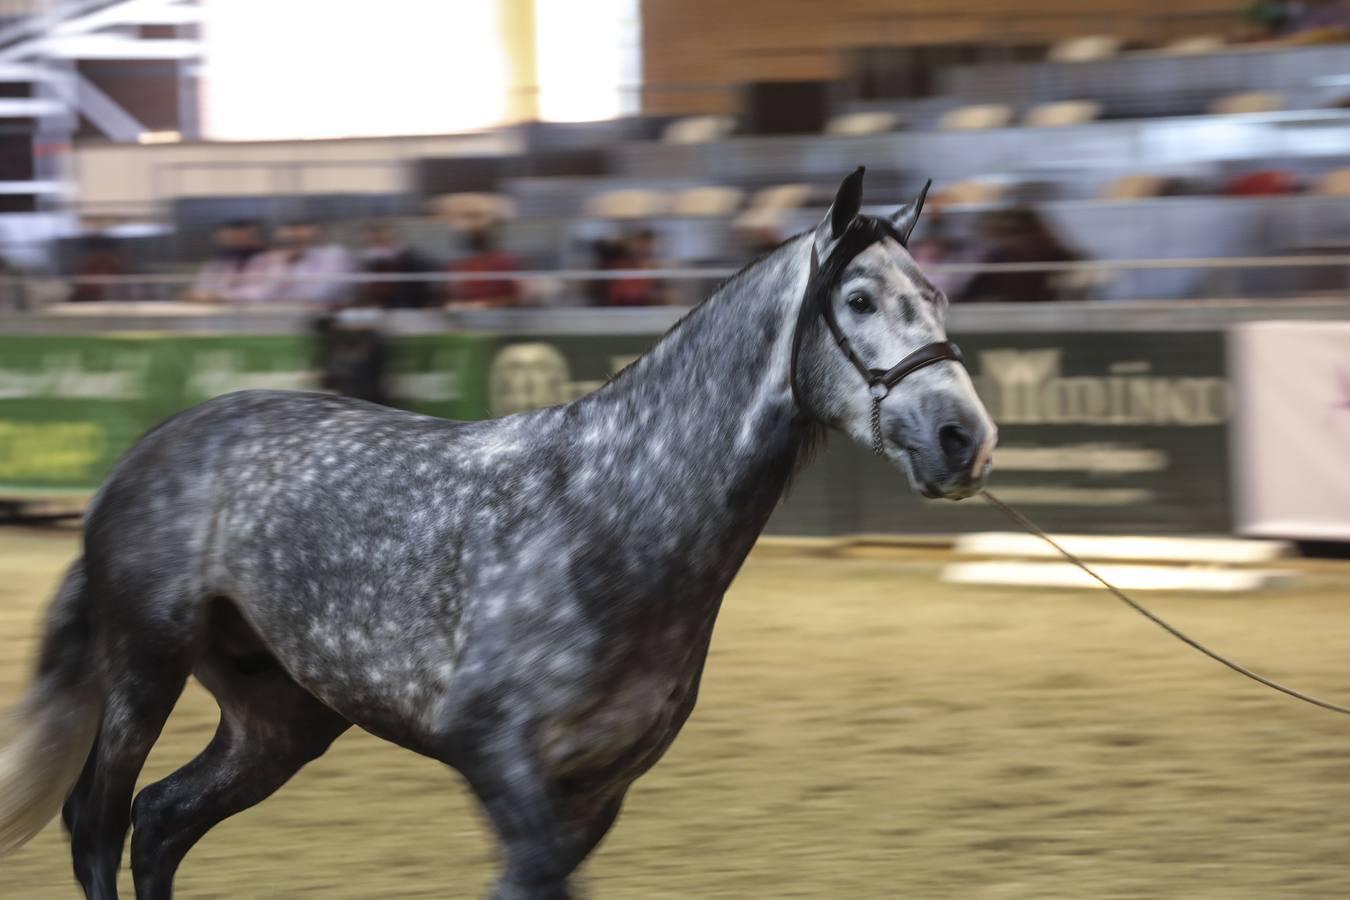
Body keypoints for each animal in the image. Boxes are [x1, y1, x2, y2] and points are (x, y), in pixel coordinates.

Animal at [0, 170, 993, 900]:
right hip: (145, 664)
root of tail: (140, 456)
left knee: (162, 820)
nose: (964, 438)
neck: (608, 515)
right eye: (858, 299)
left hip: (280, 718)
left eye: (938, 293)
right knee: (98, 819)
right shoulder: (497, 758)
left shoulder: (594, 792)